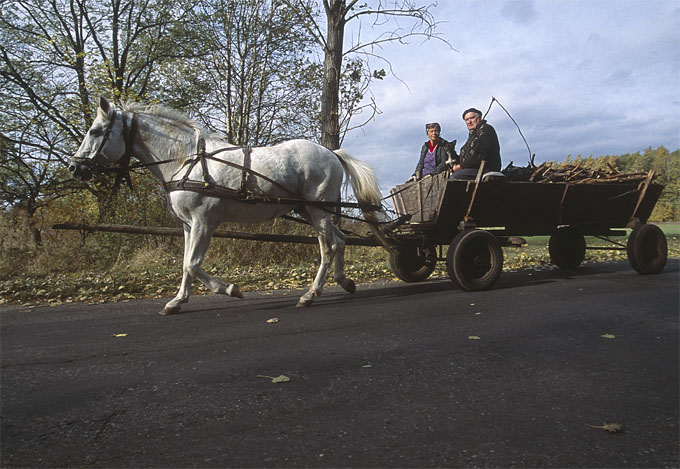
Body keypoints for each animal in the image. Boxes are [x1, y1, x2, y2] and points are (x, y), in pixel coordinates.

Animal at [70, 96, 388, 312]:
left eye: (95, 131)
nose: (74, 167)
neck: (186, 160)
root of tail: (332, 153)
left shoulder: (204, 222)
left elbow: (193, 264)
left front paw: (231, 289)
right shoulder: (188, 225)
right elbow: (185, 264)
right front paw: (177, 301)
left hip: (318, 210)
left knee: (329, 247)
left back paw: (310, 294)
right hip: (310, 211)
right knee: (341, 240)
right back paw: (344, 281)